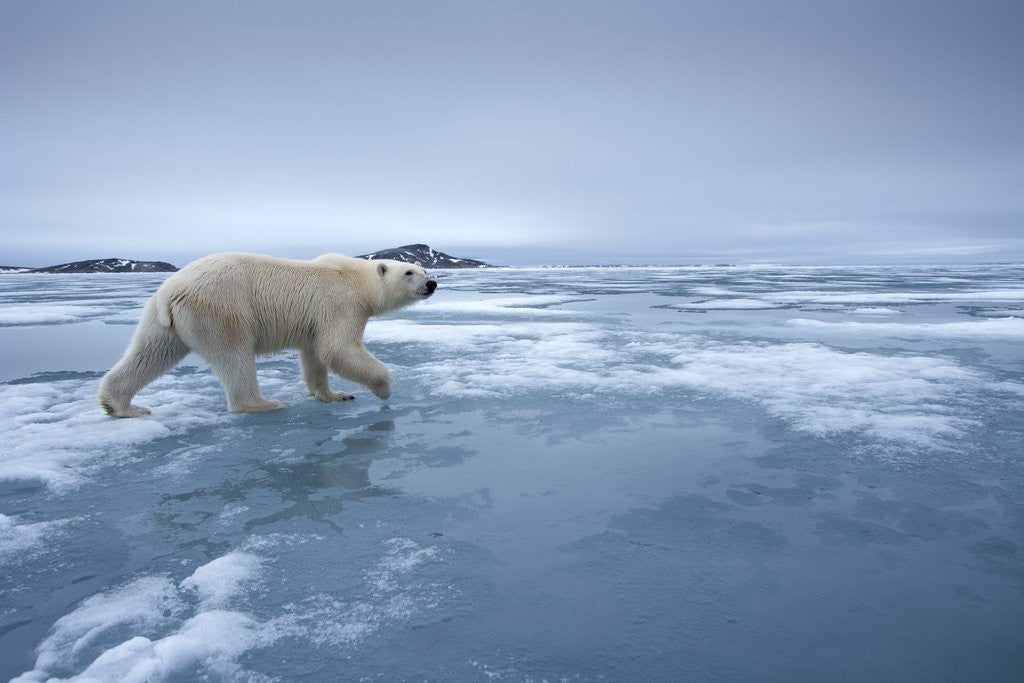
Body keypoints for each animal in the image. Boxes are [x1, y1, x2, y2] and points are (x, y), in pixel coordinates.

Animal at [98, 252, 437, 417]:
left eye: (425, 271)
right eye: (409, 272)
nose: (432, 284)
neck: (357, 280)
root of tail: (171, 292)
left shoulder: (314, 320)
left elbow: (314, 355)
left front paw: (334, 395)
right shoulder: (340, 304)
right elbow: (337, 348)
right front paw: (384, 389)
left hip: (163, 321)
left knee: (150, 353)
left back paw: (121, 406)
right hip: (220, 309)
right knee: (235, 356)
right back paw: (264, 403)